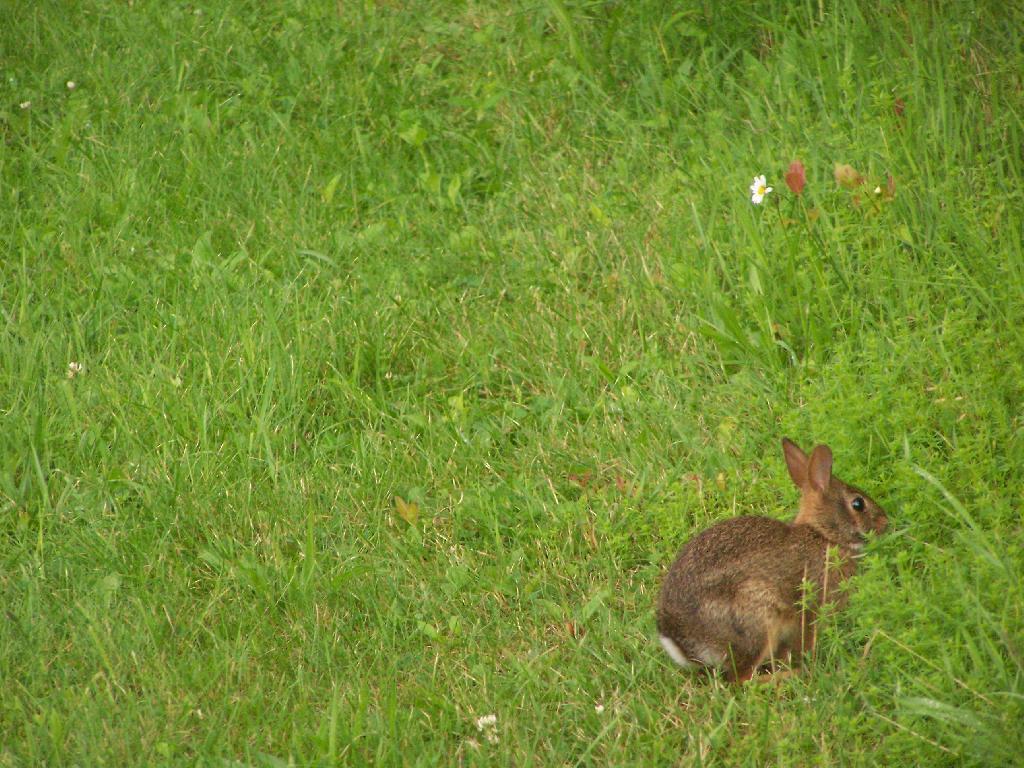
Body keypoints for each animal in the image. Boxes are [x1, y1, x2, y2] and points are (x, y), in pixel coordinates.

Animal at [656, 438, 888, 682]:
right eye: (858, 504)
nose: (885, 522)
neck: (823, 534)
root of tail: (677, 640)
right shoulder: (810, 607)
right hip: (759, 619)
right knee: (742, 680)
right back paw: (789, 676)